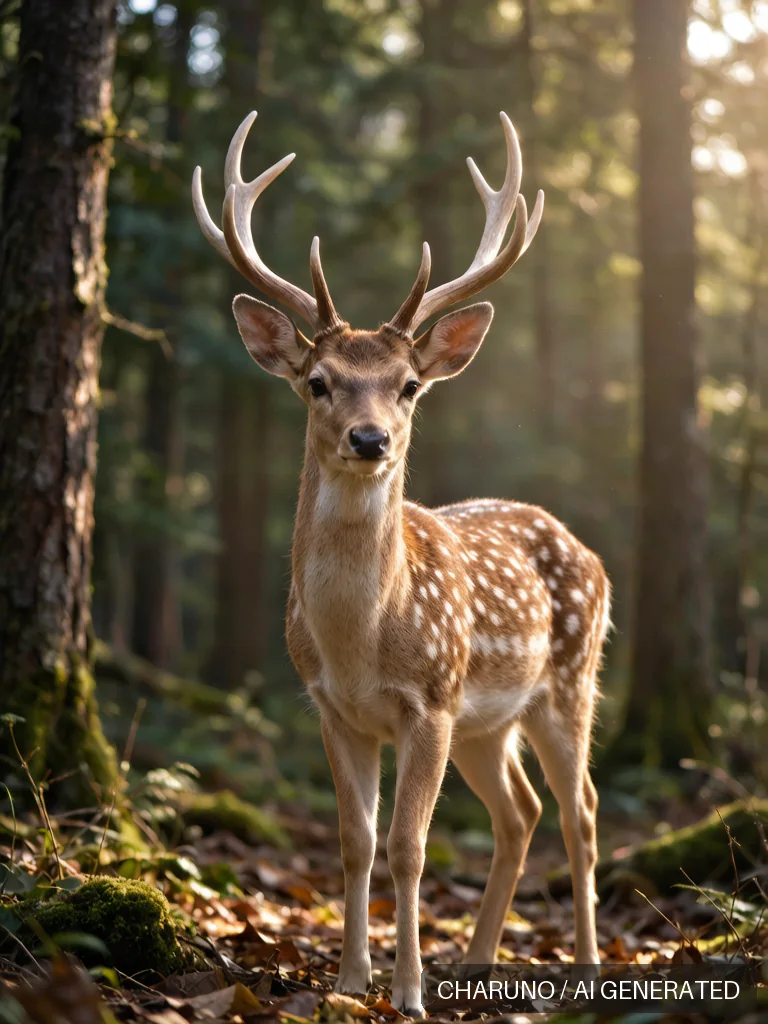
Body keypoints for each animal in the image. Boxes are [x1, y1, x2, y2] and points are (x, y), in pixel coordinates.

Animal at [193, 110, 610, 1018]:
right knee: (521, 813)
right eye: (318, 381)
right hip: (488, 723)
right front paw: (350, 981)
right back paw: (480, 961)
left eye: (409, 384)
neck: (362, 640)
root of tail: (586, 549)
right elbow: (355, 841)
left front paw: (409, 991)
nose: (370, 438)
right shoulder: (332, 707)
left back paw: (590, 967)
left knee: (582, 812)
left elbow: (410, 845)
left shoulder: (430, 699)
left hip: (567, 680)